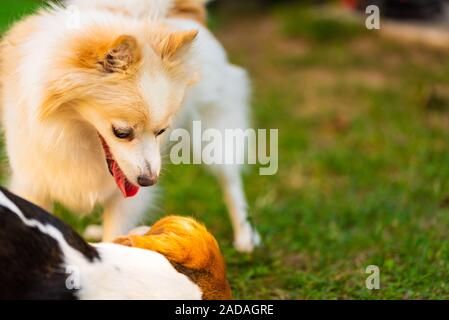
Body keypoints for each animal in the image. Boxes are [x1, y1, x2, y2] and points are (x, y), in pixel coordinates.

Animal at [0, 0, 260, 251]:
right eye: (121, 133)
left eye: (161, 132)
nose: (149, 181)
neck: (76, 132)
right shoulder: (33, 184)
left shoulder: (126, 198)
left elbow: (116, 232)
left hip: (215, 135)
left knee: (230, 181)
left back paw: (245, 237)